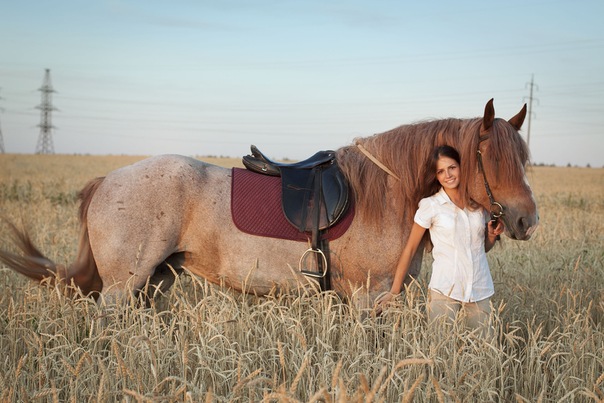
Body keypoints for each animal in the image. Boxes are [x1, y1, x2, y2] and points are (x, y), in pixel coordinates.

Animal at [0, 100, 536, 306]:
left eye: (523, 157)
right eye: (493, 159)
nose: (526, 221)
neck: (387, 194)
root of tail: (107, 180)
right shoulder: (369, 298)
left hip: (155, 282)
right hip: (121, 287)